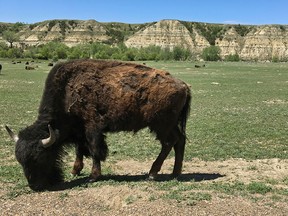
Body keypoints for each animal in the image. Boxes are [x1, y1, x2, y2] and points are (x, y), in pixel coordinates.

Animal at [5, 59, 191, 191]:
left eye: (40, 157)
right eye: (20, 160)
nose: (35, 186)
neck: (66, 91)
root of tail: (184, 85)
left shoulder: (92, 128)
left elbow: (94, 150)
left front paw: (93, 176)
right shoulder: (80, 131)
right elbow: (80, 149)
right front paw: (75, 170)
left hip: (161, 125)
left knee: (169, 143)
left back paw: (152, 173)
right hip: (170, 125)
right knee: (179, 141)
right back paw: (175, 173)